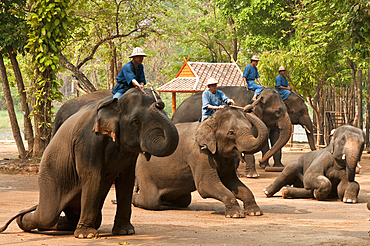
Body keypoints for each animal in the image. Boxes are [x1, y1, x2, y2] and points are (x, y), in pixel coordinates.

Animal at [0, 88, 179, 238]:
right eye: (135, 121)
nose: (158, 102)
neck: (115, 105)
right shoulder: (87, 141)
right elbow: (93, 177)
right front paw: (86, 236)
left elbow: (126, 181)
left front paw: (125, 232)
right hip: (49, 177)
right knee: (47, 215)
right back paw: (23, 218)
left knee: (68, 217)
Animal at [132, 107, 268, 217]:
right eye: (231, 133)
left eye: (250, 128)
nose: (249, 110)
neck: (208, 122)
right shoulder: (199, 155)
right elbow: (206, 185)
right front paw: (235, 215)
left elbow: (233, 182)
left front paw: (255, 212)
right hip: (142, 171)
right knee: (151, 200)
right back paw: (134, 198)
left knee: (184, 200)